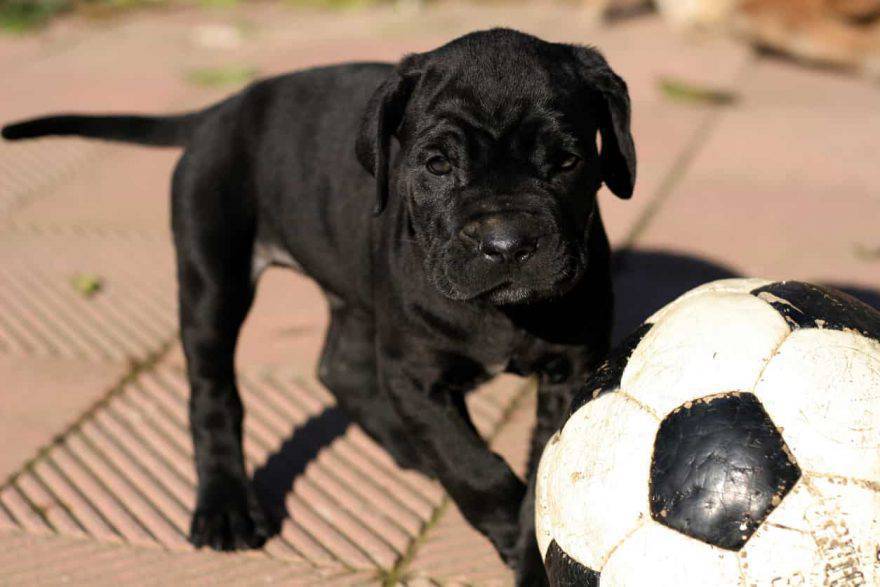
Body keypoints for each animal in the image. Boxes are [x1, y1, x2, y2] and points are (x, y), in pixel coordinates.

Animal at [0, 28, 632, 584]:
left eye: (568, 161)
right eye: (437, 165)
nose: (506, 243)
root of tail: (222, 110)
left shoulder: (573, 368)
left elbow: (543, 473)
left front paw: (530, 552)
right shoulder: (414, 373)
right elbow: (471, 465)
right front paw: (501, 519)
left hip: (350, 281)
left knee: (340, 367)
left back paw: (407, 448)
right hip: (212, 275)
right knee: (213, 391)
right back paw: (226, 506)